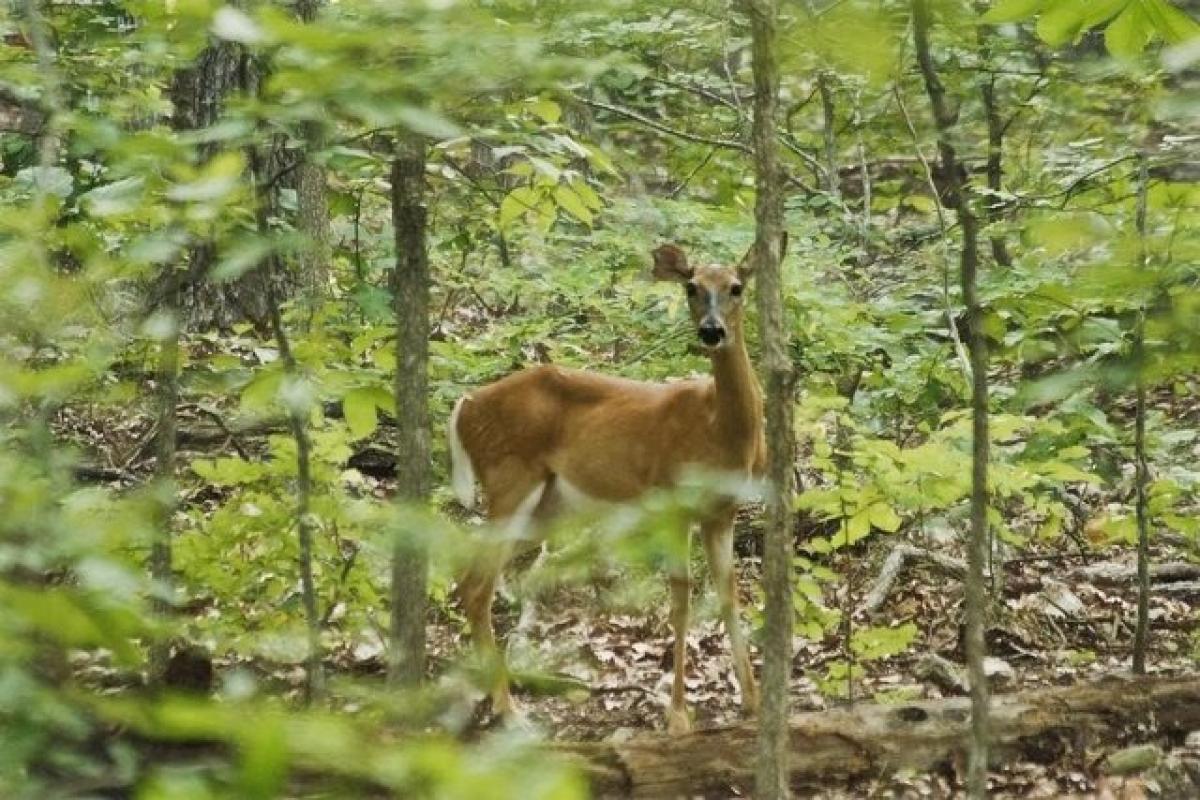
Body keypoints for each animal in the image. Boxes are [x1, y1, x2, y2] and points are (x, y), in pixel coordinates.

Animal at [446, 236, 782, 734]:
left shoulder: (722, 512)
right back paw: (509, 711)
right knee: (477, 585)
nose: (711, 331)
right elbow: (680, 603)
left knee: (470, 577)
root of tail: (465, 405)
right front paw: (678, 717)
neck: (720, 430)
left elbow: (729, 596)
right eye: (692, 287)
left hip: (548, 508)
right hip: (510, 480)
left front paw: (753, 703)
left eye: (736, 287)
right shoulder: (672, 501)